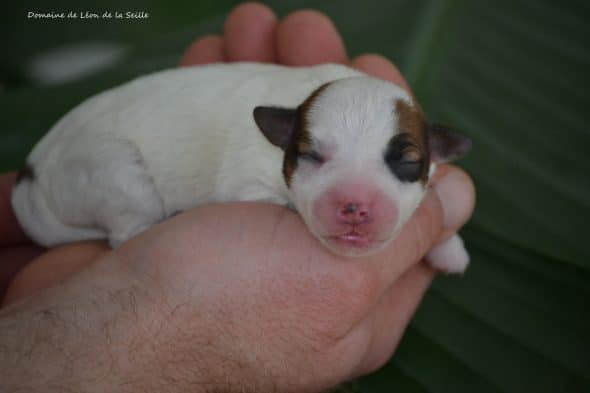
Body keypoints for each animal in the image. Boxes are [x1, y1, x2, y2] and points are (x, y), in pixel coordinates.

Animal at [11, 63, 474, 272]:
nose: (355, 207)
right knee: (128, 229)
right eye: (311, 156)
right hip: (109, 171)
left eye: (408, 161)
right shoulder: (245, 181)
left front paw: (448, 247)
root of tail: (31, 170)